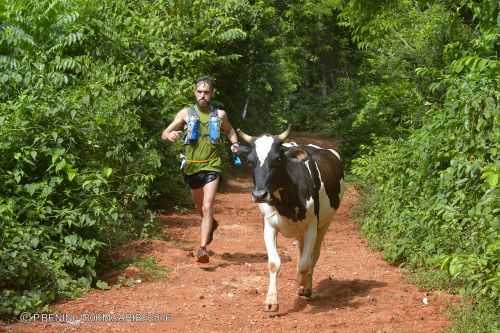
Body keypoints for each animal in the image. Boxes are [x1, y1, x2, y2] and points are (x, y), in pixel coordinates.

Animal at [237, 126, 344, 312]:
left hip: (325, 224)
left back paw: (306, 286)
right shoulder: (269, 226)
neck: (286, 203)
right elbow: (274, 263)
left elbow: (304, 263)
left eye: (278, 159)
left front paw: (302, 284)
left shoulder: (312, 227)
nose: (259, 195)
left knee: (313, 255)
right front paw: (271, 301)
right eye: (250, 161)